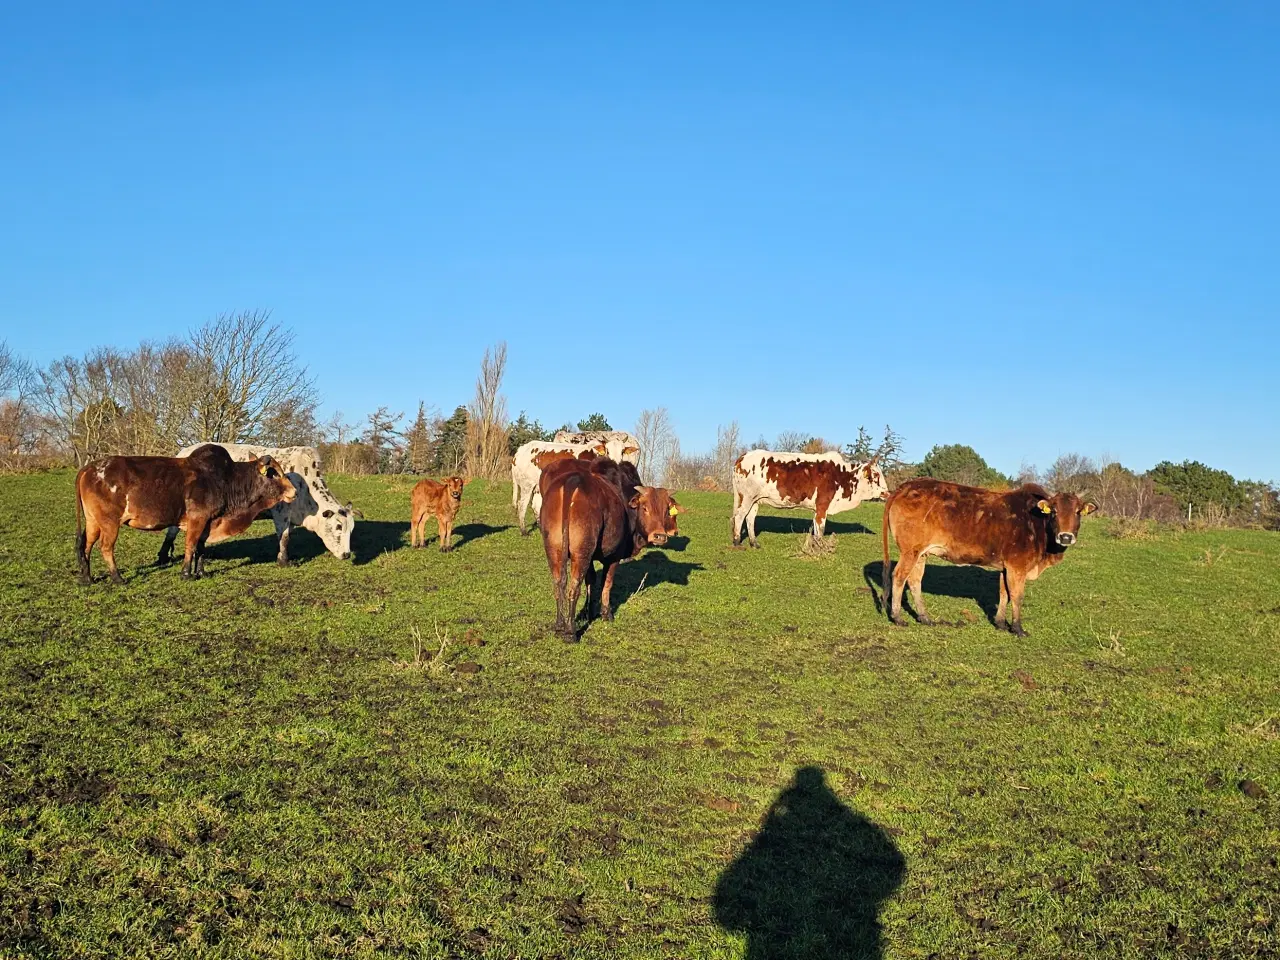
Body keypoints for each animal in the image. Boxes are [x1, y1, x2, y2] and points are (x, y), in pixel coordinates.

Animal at [78, 445, 299, 586]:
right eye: (273, 473)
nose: (294, 491)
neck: (226, 480)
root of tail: (88, 467)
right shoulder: (197, 519)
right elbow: (190, 546)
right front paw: (186, 573)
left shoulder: (209, 521)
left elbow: (201, 548)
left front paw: (201, 571)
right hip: (110, 522)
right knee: (105, 548)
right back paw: (117, 578)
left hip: (93, 521)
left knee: (86, 545)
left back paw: (87, 578)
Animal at [162, 445, 360, 568]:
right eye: (338, 526)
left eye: (351, 529)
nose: (347, 554)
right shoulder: (281, 512)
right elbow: (284, 537)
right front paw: (283, 561)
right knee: (172, 530)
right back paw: (163, 556)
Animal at [537, 455, 686, 640]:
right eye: (645, 508)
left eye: (666, 510)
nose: (660, 536)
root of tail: (572, 481)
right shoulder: (614, 556)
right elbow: (606, 583)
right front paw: (606, 613)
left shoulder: (591, 557)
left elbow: (591, 580)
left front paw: (588, 611)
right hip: (581, 553)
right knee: (574, 586)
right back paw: (570, 631)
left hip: (553, 549)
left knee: (559, 583)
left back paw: (559, 625)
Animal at [732, 450, 890, 547]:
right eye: (875, 475)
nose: (887, 493)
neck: (842, 476)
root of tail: (743, 456)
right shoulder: (822, 506)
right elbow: (820, 528)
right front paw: (820, 547)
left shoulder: (817, 509)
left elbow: (815, 527)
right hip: (747, 497)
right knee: (739, 517)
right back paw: (737, 541)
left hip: (754, 500)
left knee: (750, 518)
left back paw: (754, 543)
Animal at [880, 481, 1100, 640]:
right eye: (1054, 512)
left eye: (1078, 512)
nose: (1066, 537)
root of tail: (905, 486)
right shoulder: (1017, 567)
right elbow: (1017, 596)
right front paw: (1018, 628)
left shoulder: (1006, 567)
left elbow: (1004, 594)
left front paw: (1001, 623)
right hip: (910, 551)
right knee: (898, 576)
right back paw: (897, 617)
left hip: (921, 554)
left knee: (914, 581)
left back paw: (924, 617)